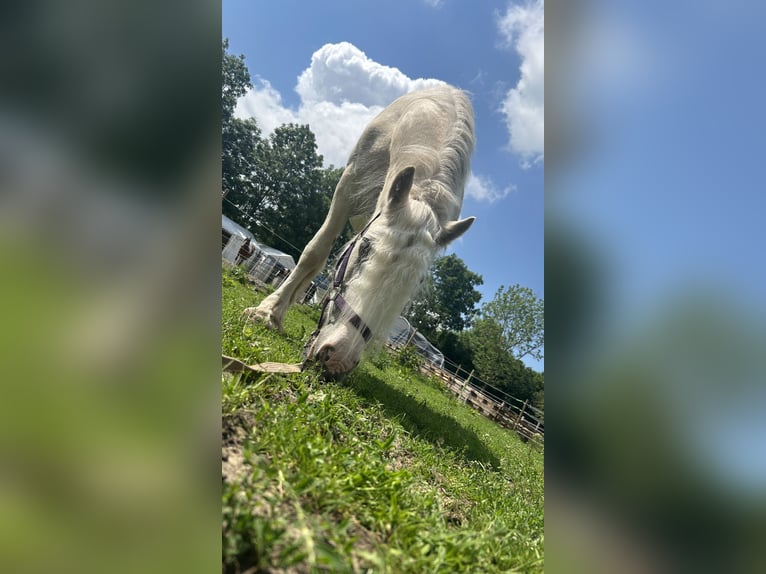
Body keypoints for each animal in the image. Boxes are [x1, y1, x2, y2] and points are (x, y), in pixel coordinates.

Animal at [243, 85, 476, 380]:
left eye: (417, 281)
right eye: (365, 247)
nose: (338, 359)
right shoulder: (347, 185)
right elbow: (315, 252)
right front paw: (268, 314)